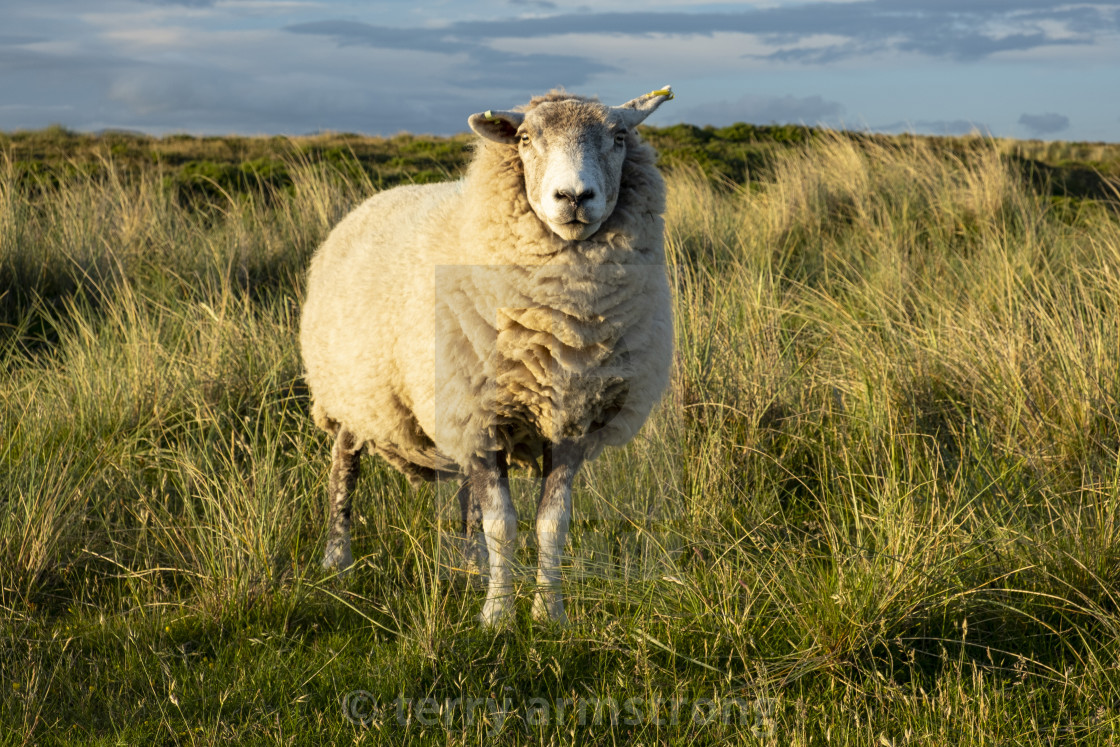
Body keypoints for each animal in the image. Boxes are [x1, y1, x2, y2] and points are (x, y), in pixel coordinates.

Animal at [300, 87, 672, 627]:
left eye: (619, 136)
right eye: (524, 138)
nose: (574, 197)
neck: (564, 323)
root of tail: (380, 196)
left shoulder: (571, 423)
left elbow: (551, 525)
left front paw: (547, 612)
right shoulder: (478, 416)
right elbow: (503, 526)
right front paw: (497, 615)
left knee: (464, 491)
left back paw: (470, 564)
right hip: (354, 391)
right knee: (343, 466)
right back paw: (337, 557)